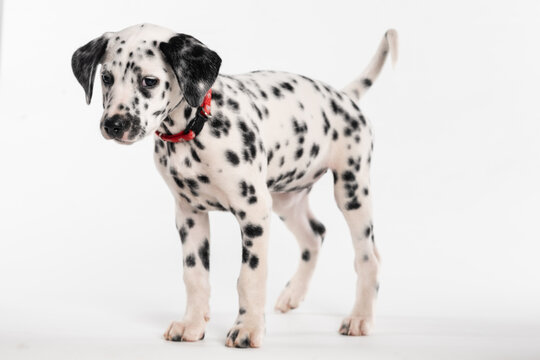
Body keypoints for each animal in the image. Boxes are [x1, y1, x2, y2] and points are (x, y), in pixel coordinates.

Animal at [70, 23, 396, 348]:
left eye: (149, 81)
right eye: (106, 78)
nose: (114, 125)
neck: (195, 130)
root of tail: (343, 96)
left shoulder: (253, 213)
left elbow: (249, 277)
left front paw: (248, 328)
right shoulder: (189, 215)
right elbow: (194, 275)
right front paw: (192, 323)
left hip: (351, 191)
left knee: (369, 258)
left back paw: (360, 317)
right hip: (285, 200)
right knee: (314, 236)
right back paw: (293, 294)